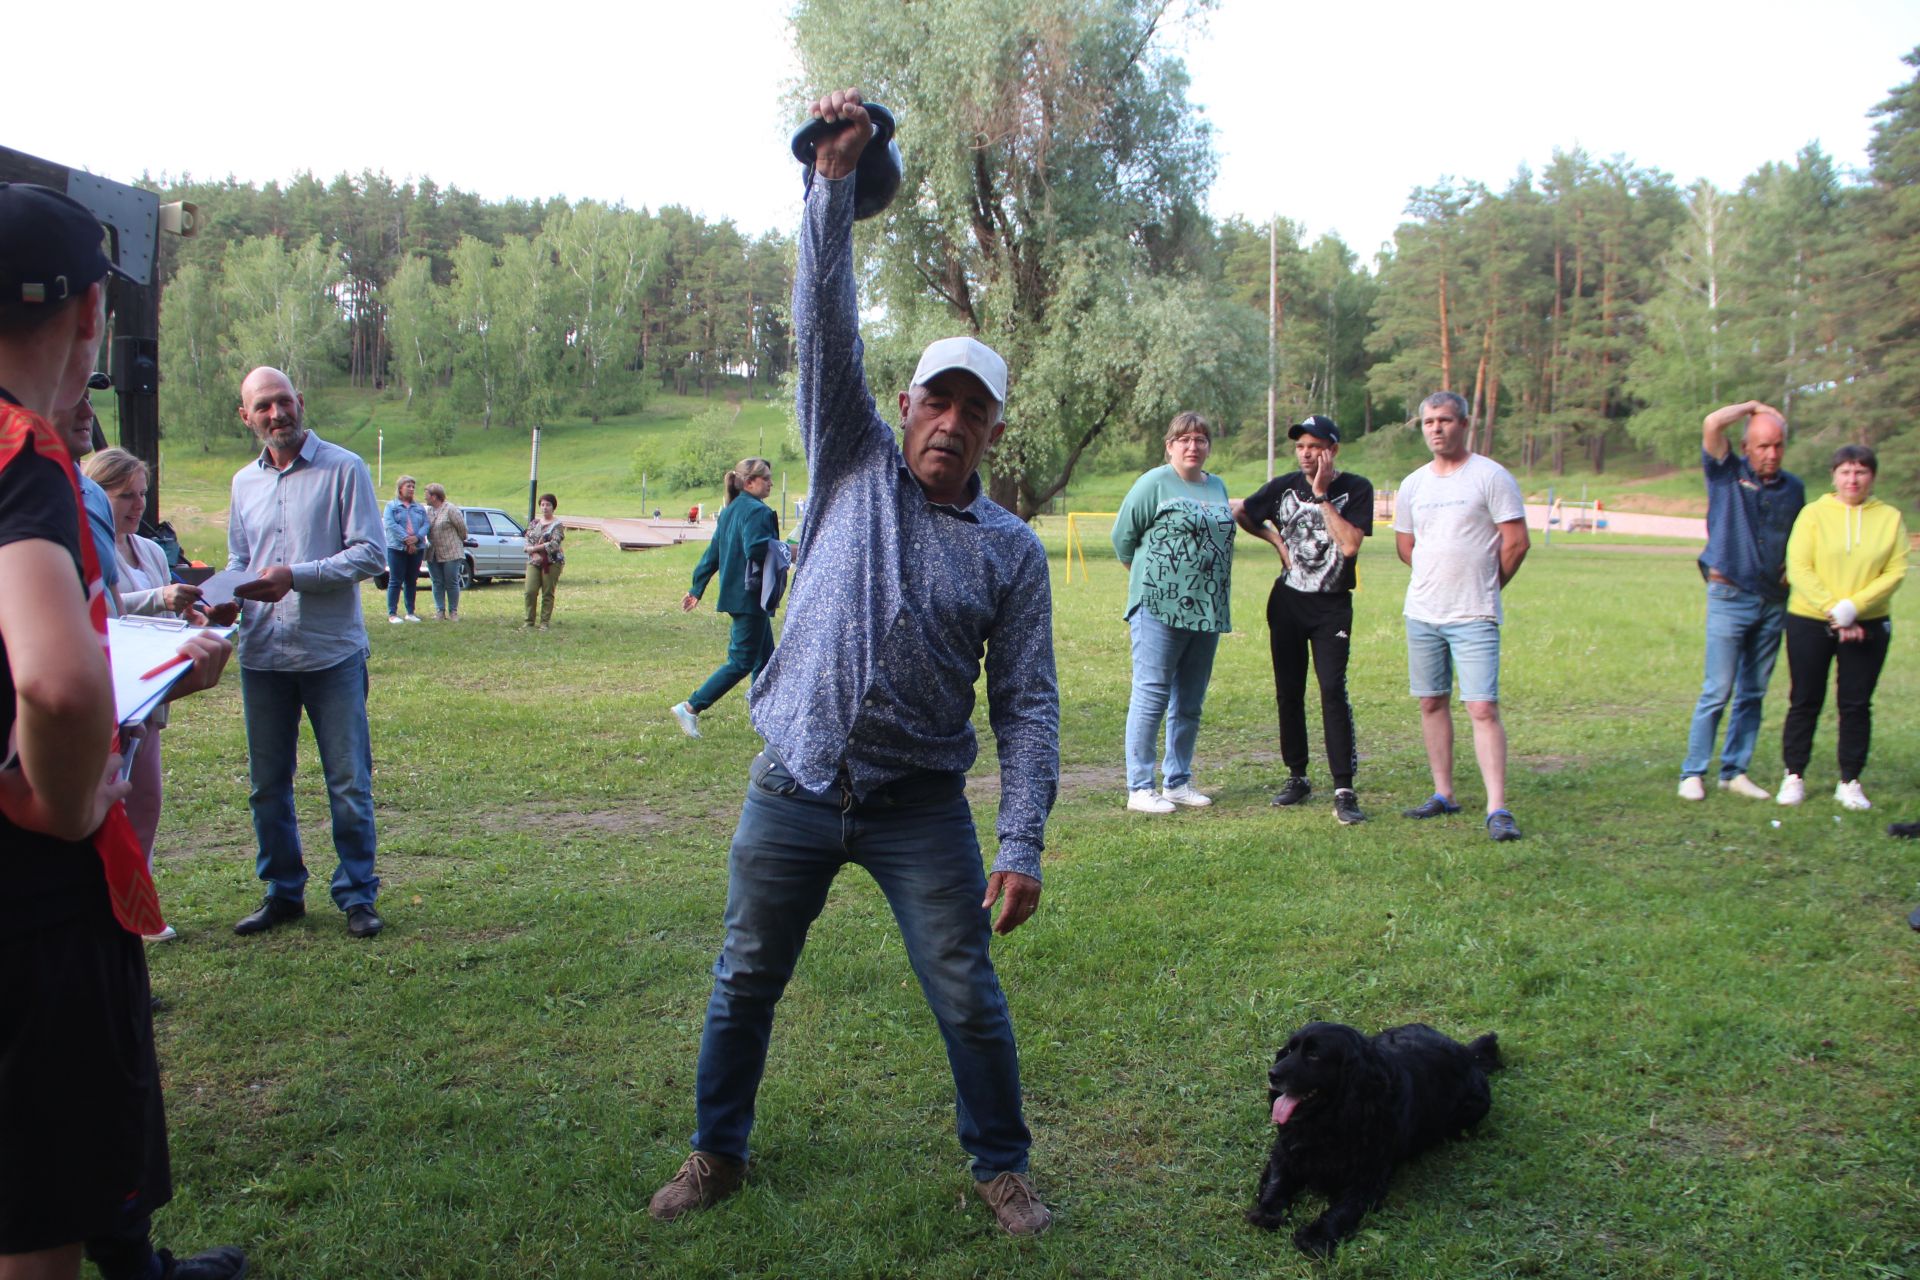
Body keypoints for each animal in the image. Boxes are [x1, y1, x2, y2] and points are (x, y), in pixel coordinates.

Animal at [1251, 1028, 1505, 1258]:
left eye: (1314, 1055)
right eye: (1289, 1050)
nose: (1272, 1074)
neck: (1333, 1119)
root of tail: (1467, 1053)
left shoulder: (1368, 1179)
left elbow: (1342, 1210)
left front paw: (1316, 1236)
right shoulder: (1285, 1151)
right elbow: (1278, 1180)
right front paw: (1267, 1211)